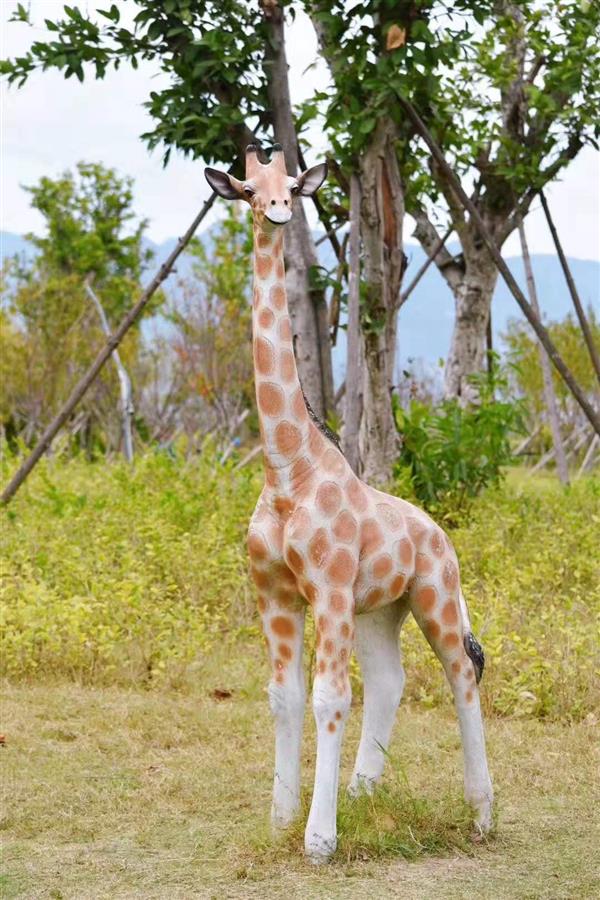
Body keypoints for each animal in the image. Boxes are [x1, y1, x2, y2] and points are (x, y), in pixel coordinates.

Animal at [206, 144, 492, 860]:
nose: (279, 212)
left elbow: (329, 698)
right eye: (247, 188)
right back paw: (364, 795)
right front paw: (284, 819)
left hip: (434, 595)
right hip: (378, 611)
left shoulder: (328, 587)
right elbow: (283, 697)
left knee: (462, 673)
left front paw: (319, 839)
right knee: (391, 682)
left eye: (293, 186)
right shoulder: (276, 591)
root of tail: (440, 534)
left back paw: (481, 815)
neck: (289, 470)